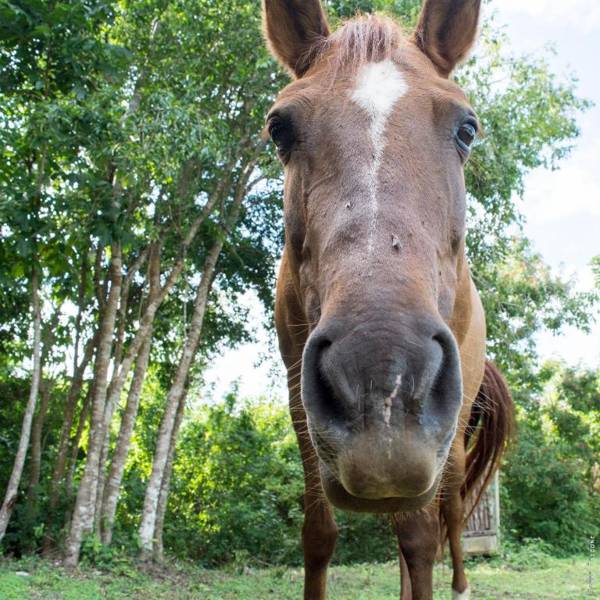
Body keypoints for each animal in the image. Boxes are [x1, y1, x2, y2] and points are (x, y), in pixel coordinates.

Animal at [264, 2, 516, 596]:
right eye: (279, 129)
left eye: (467, 128)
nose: (382, 379)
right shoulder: (299, 403)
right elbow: (319, 536)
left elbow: (422, 537)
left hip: (453, 435)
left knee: (446, 517)